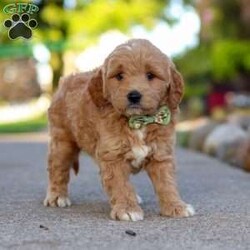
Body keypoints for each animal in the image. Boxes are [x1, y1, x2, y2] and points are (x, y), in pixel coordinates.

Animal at [44, 38, 194, 221]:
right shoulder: (113, 156)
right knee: (57, 168)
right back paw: (56, 196)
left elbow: (167, 183)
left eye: (150, 75)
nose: (134, 95)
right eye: (119, 76)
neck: (138, 122)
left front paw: (175, 206)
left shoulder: (161, 154)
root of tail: (66, 80)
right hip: (62, 141)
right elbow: (120, 184)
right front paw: (127, 209)